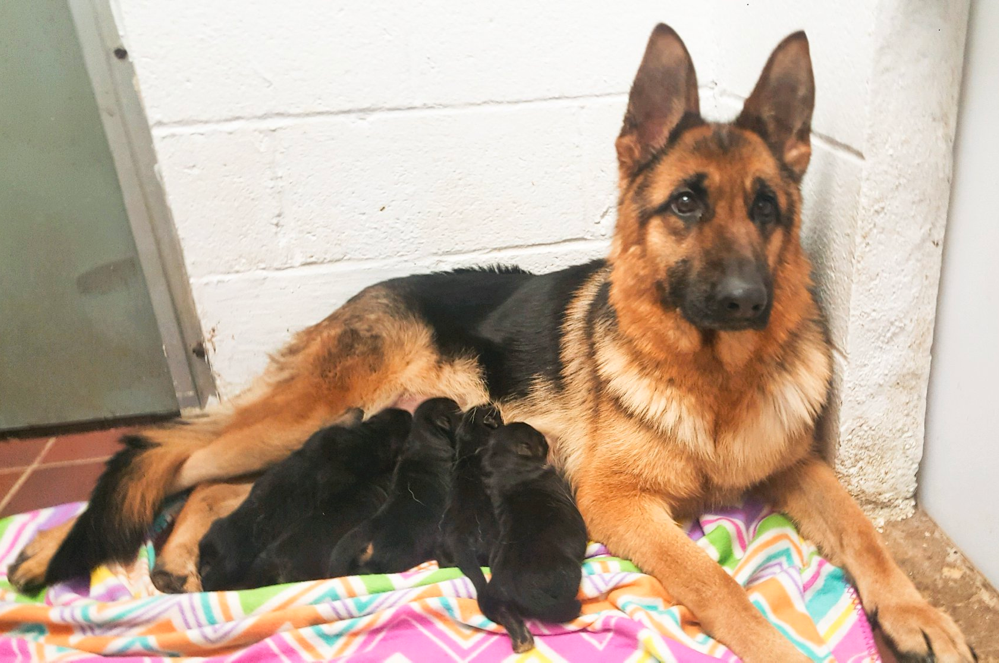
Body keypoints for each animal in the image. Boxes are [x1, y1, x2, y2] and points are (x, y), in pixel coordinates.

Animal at [480, 422, 588, 656]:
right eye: (540, 439)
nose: (547, 438)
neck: (507, 465)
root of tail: (511, 587)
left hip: (497, 597)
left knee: (507, 616)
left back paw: (522, 641)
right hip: (569, 576)